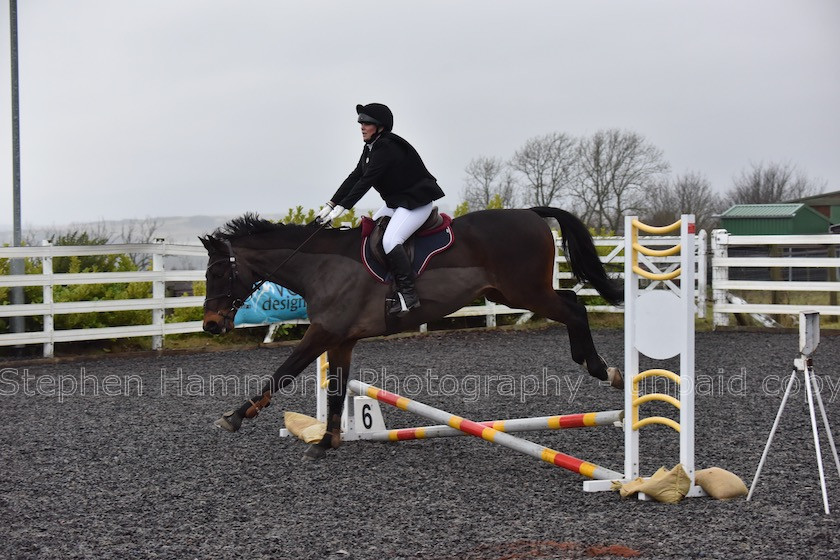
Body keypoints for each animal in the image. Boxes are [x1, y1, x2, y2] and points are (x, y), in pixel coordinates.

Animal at [200, 207, 624, 460]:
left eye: (218, 272)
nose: (211, 324)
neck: (319, 265)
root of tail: (531, 212)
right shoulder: (341, 339)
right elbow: (336, 389)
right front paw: (327, 441)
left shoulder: (322, 333)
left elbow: (282, 373)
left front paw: (234, 417)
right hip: (510, 293)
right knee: (572, 300)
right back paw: (596, 364)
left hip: (526, 291)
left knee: (575, 308)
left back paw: (603, 369)